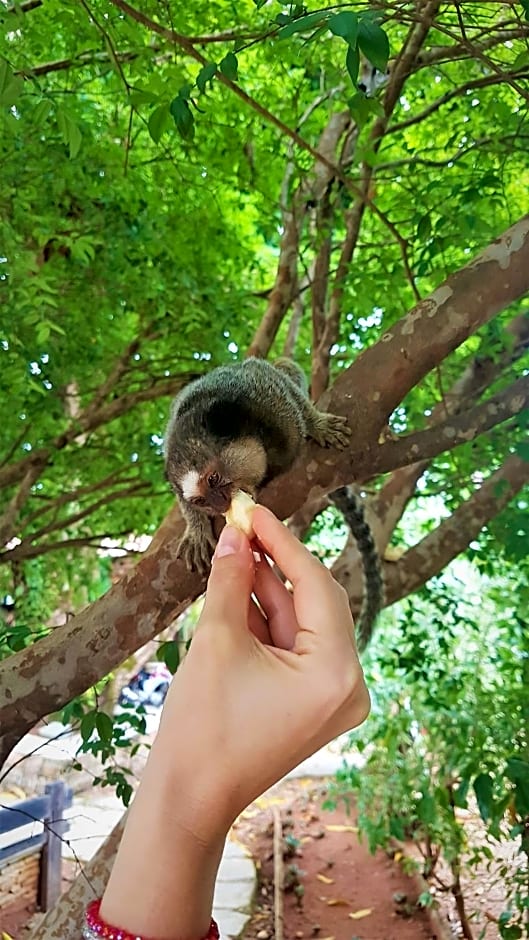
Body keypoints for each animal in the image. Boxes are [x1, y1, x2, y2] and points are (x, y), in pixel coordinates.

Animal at [163, 354, 348, 568]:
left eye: (213, 478)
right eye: (201, 501)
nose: (220, 504)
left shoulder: (267, 398)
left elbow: (281, 384)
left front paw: (318, 424)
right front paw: (196, 529)